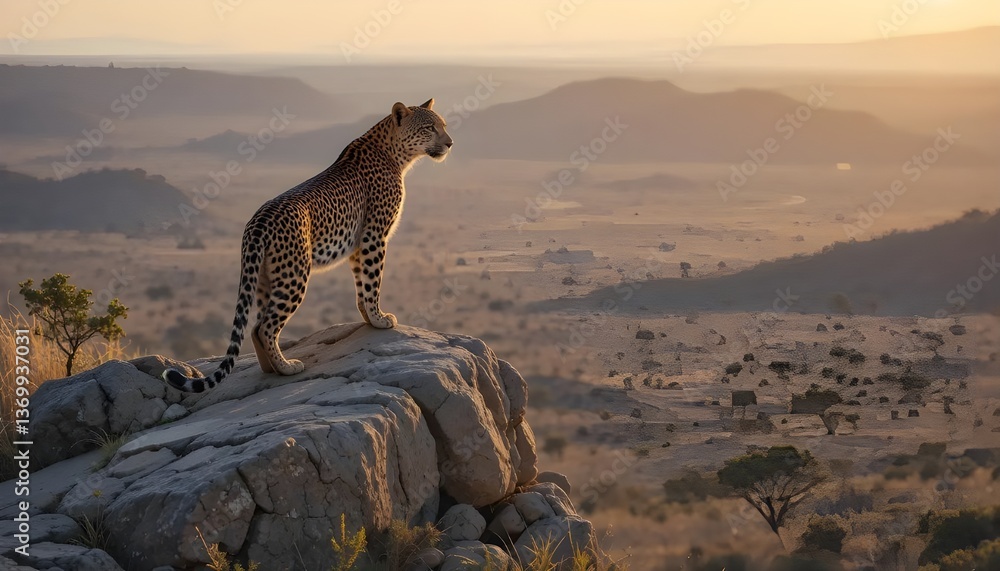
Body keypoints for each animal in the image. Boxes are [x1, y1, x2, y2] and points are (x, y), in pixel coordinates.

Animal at [163, 99, 453, 392]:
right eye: (430, 128)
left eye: (443, 126)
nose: (450, 143)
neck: (395, 153)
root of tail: (258, 222)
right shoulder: (374, 236)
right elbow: (373, 281)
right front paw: (379, 319)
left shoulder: (357, 244)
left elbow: (361, 285)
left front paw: (368, 318)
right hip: (295, 275)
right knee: (266, 326)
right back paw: (286, 367)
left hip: (264, 278)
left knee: (255, 325)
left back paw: (271, 369)